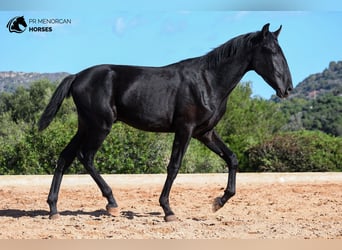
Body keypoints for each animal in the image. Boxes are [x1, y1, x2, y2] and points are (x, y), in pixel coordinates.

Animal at [39, 23, 292, 222]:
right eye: (271, 51)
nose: (287, 89)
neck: (207, 82)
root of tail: (77, 77)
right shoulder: (185, 129)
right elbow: (174, 166)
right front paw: (168, 210)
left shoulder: (205, 133)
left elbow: (232, 158)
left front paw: (218, 202)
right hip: (100, 126)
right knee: (86, 156)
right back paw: (111, 203)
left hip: (86, 126)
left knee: (65, 157)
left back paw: (53, 209)